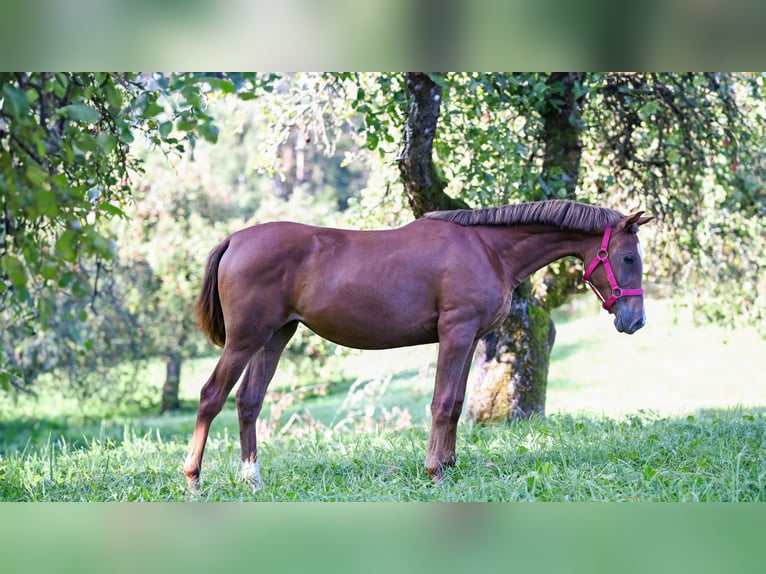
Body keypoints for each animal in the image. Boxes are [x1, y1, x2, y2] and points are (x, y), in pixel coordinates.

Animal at [182, 201, 656, 490]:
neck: (489, 248)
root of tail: (235, 240)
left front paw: (450, 464)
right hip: (245, 340)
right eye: (628, 257)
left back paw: (252, 478)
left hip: (275, 337)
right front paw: (434, 471)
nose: (635, 320)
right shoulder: (456, 333)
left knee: (249, 401)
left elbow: (457, 403)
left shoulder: (471, 338)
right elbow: (442, 403)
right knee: (211, 396)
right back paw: (193, 478)